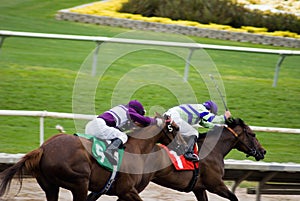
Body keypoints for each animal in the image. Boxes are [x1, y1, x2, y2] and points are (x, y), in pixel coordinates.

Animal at [0, 116, 184, 201]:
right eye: (175, 128)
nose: (184, 146)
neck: (137, 149)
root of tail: (43, 148)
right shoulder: (127, 190)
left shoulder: (105, 190)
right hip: (79, 182)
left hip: (50, 187)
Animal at [135, 118, 266, 201]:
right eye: (253, 134)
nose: (263, 151)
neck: (213, 150)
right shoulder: (215, 185)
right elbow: (234, 197)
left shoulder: (199, 188)